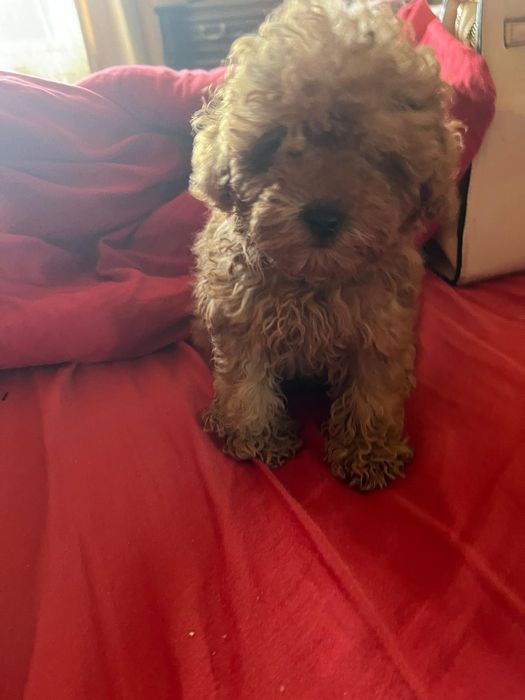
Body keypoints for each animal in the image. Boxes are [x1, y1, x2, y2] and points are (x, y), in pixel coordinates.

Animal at [190, 0, 461, 490]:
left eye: (377, 153)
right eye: (275, 142)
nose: (323, 217)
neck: (312, 279)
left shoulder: (381, 326)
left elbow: (373, 390)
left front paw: (369, 452)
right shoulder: (240, 320)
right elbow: (246, 384)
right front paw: (253, 437)